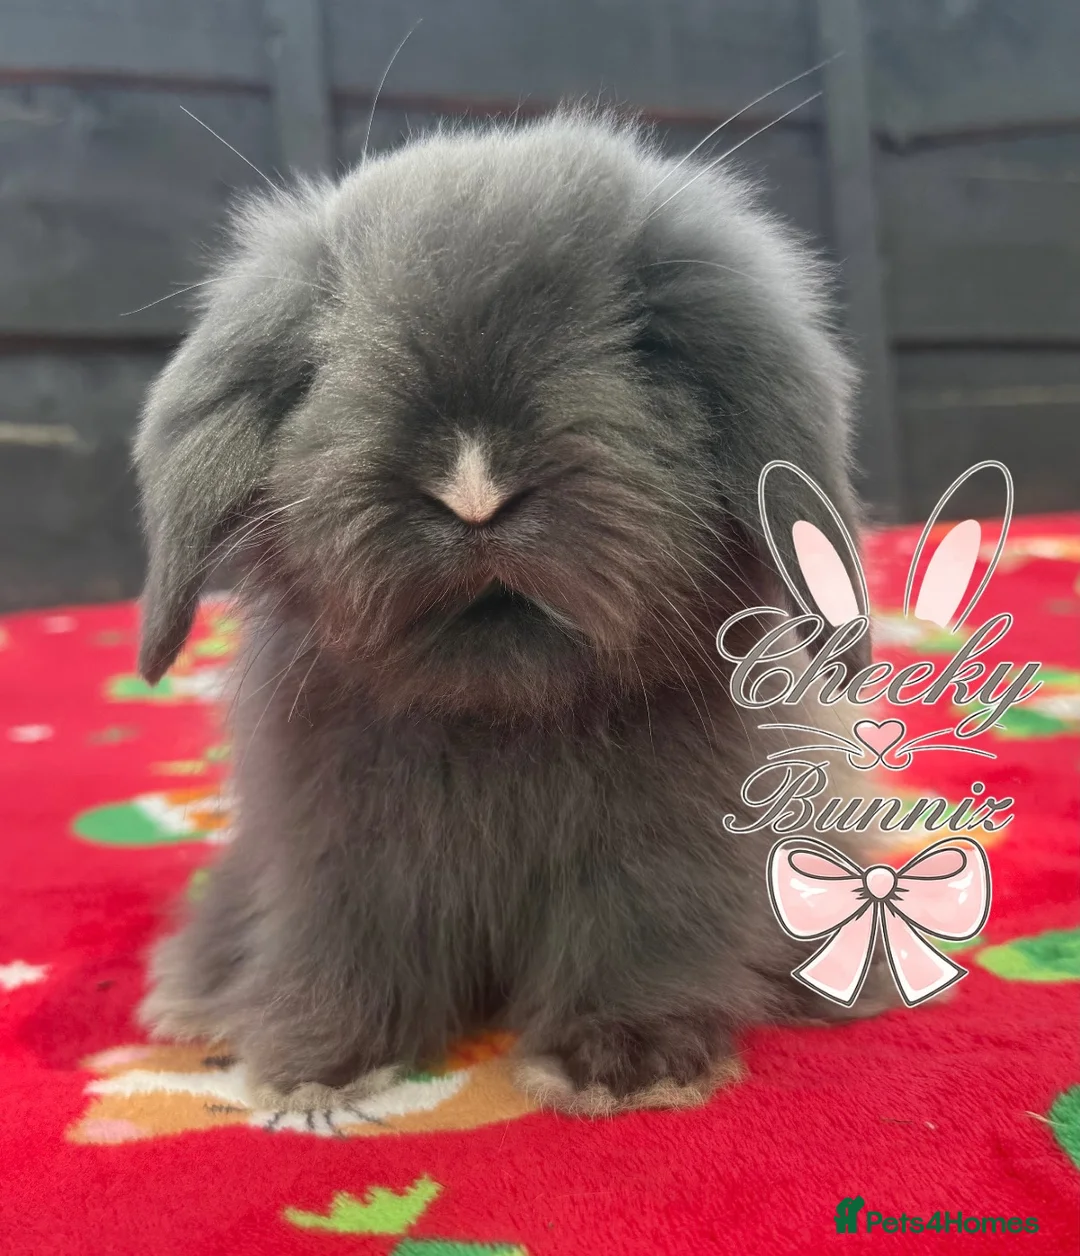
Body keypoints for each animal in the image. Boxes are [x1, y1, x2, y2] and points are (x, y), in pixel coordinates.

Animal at [133, 106, 899, 1118]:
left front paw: (627, 1065)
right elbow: (345, 952)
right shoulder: (339, 863)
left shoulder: (657, 869)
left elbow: (638, 945)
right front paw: (318, 1067)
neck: (502, 707)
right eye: (323, 361)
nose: (474, 488)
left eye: (647, 345)